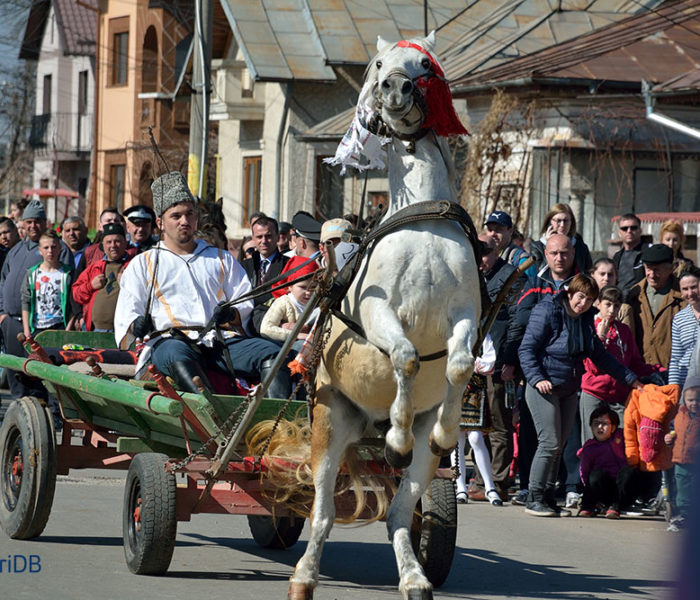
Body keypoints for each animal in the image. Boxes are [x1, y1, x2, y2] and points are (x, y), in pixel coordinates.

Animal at [286, 34, 482, 600]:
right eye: (378, 64)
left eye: (425, 64)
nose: (396, 87)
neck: (422, 224)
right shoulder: (377, 312)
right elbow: (406, 355)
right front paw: (395, 433)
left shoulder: (466, 314)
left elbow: (458, 364)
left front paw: (444, 429)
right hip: (329, 422)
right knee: (323, 513)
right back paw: (303, 576)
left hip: (420, 468)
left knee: (398, 513)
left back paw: (415, 576)